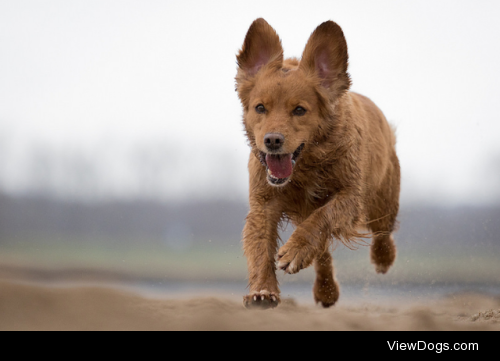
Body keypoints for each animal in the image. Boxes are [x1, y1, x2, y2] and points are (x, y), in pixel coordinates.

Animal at [236, 18, 400, 308]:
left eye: (299, 110)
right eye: (260, 108)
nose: (272, 140)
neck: (305, 167)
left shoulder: (351, 197)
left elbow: (322, 217)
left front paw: (296, 249)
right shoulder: (263, 203)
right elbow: (260, 247)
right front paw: (263, 291)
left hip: (383, 198)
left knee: (383, 232)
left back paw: (383, 258)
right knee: (322, 254)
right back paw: (326, 290)